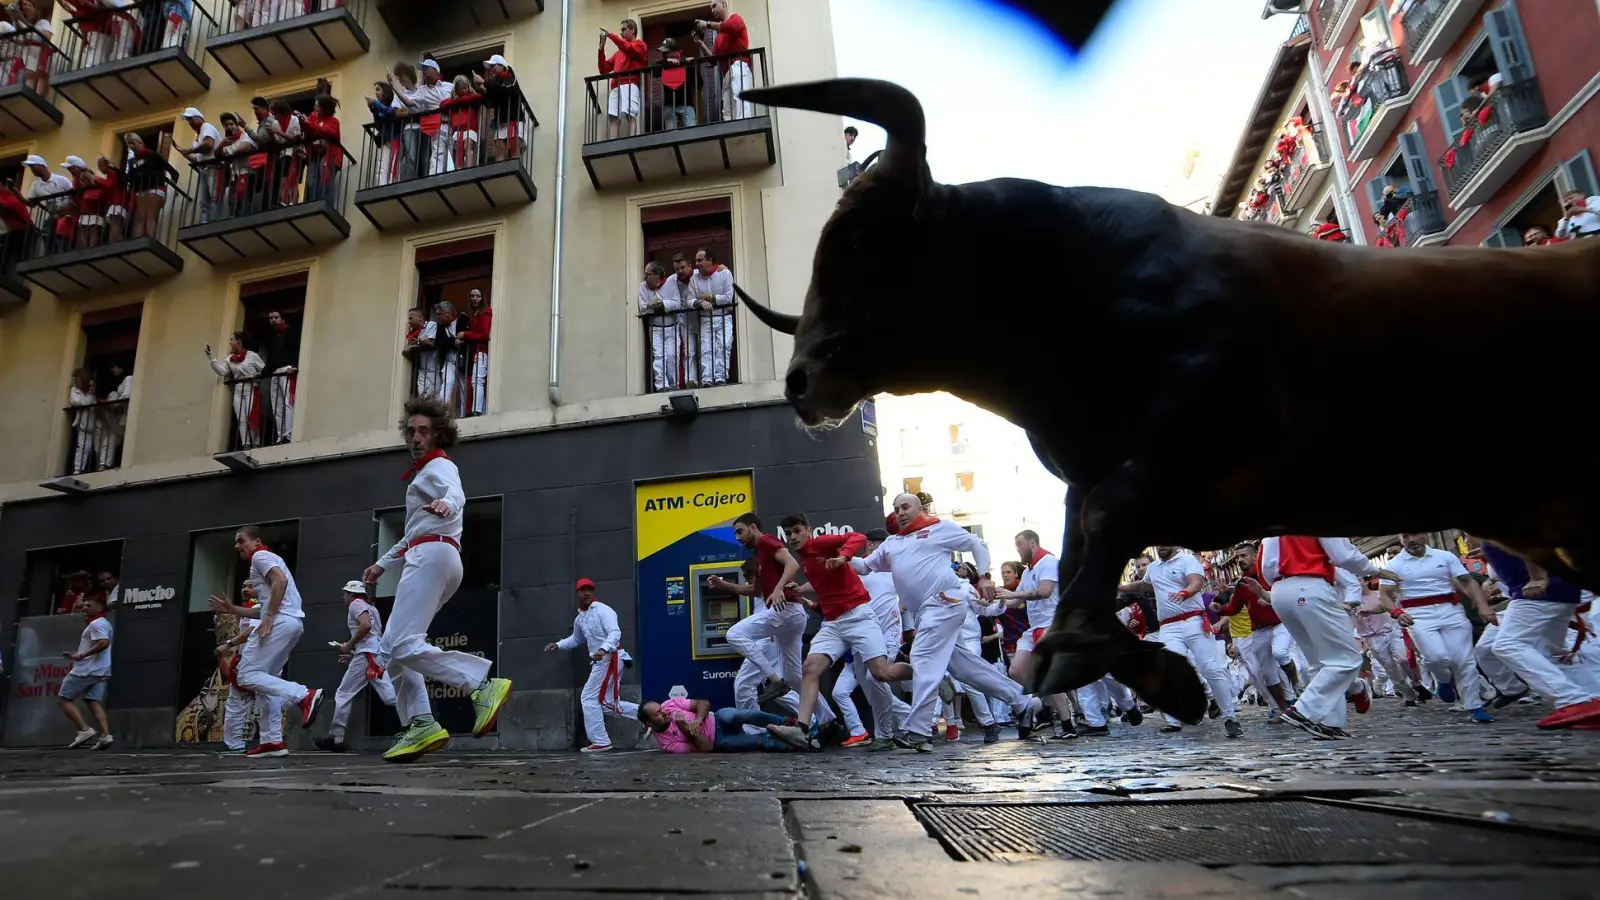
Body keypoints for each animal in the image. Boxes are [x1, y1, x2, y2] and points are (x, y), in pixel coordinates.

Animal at [732, 75, 1600, 720]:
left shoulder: (1208, 432)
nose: (801, 381)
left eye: (855, 239)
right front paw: (1135, 665)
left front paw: (1097, 654)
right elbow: (1082, 551)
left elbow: (1105, 528)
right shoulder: (1095, 473)